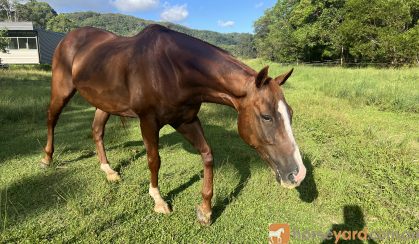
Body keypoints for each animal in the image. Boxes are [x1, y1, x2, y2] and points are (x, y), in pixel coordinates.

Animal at [41, 24, 306, 225]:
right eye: (266, 116)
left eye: (291, 113)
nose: (298, 174)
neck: (171, 68)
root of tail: (70, 37)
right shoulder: (148, 121)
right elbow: (154, 160)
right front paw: (159, 201)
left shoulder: (185, 120)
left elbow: (207, 155)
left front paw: (205, 210)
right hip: (62, 89)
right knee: (52, 118)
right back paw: (46, 159)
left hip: (104, 103)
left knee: (97, 131)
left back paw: (109, 171)